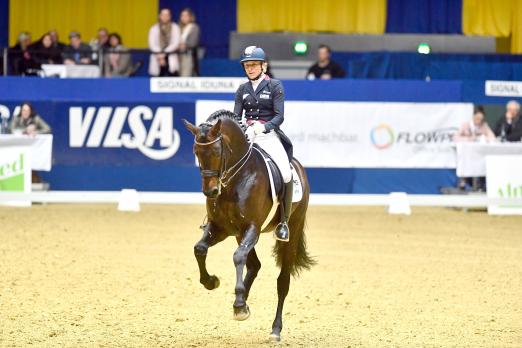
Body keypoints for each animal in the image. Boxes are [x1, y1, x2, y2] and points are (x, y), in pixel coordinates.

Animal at [183, 110, 312, 342]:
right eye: (196, 152)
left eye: (217, 151)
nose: (210, 192)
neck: (235, 179)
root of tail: (298, 166)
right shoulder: (221, 228)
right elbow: (199, 249)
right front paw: (211, 282)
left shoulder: (252, 227)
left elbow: (237, 257)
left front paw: (239, 304)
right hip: (238, 234)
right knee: (255, 265)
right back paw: (243, 301)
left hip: (291, 230)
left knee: (282, 282)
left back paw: (274, 329)